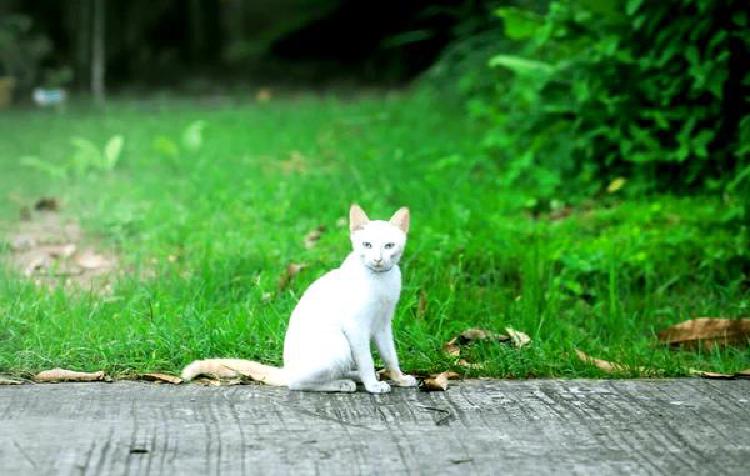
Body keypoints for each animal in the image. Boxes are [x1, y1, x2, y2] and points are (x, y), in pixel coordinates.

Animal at [181, 205, 418, 394]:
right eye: (367, 244)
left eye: (389, 245)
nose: (377, 259)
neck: (380, 281)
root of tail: (287, 368)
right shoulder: (356, 326)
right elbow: (367, 359)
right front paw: (372, 386)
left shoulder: (383, 324)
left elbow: (390, 355)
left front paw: (398, 378)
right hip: (339, 344)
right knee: (297, 383)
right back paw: (343, 384)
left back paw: (353, 375)